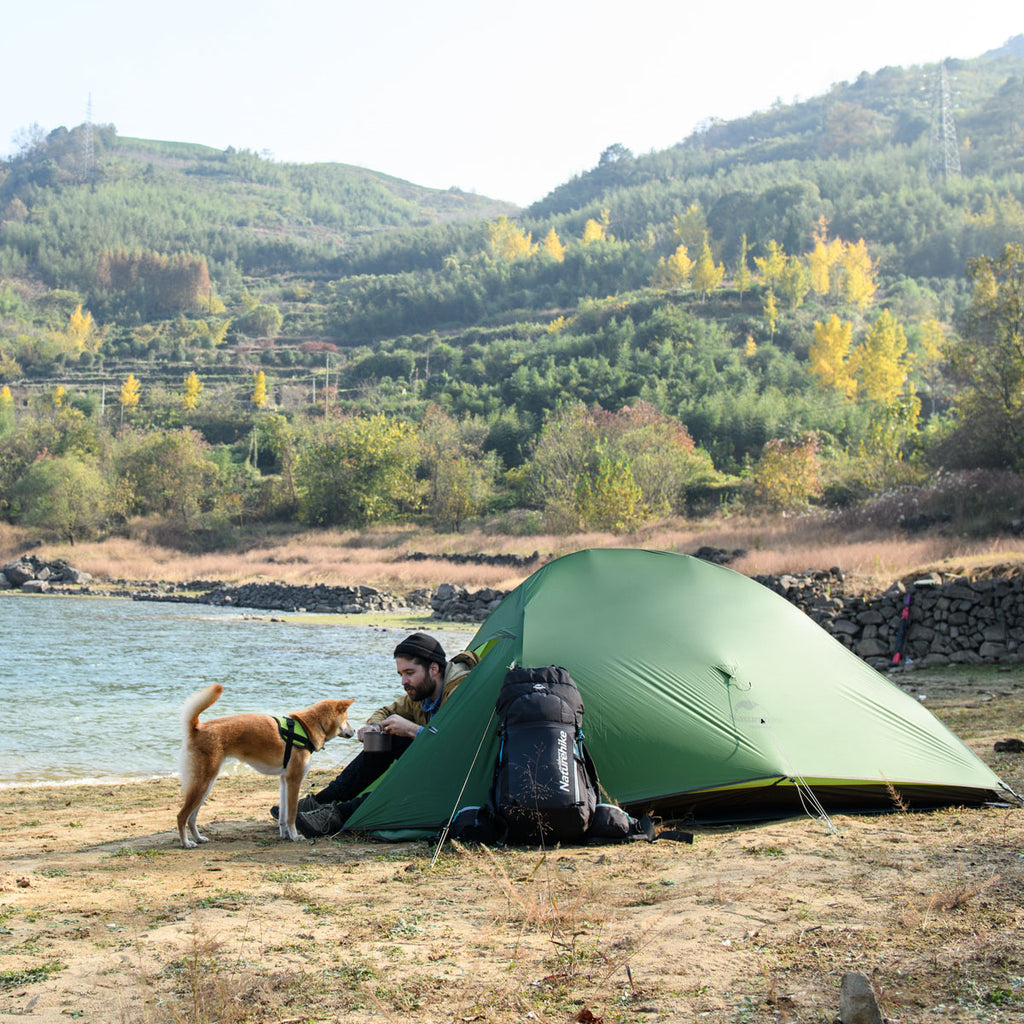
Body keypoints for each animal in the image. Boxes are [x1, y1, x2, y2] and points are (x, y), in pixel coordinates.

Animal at [174, 679, 354, 847]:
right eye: (347, 720)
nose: (353, 731)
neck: (307, 729)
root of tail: (197, 727)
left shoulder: (284, 781)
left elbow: (283, 816)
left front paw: (285, 835)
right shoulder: (293, 781)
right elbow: (291, 814)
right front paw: (295, 836)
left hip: (205, 786)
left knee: (191, 818)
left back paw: (198, 838)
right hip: (202, 784)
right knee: (182, 816)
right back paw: (186, 843)